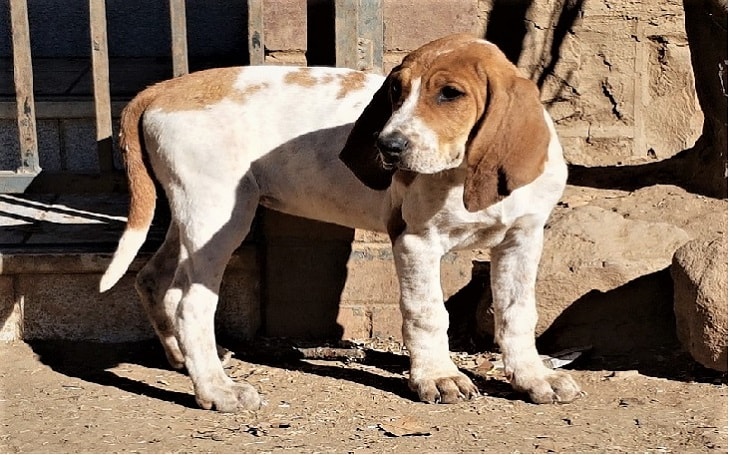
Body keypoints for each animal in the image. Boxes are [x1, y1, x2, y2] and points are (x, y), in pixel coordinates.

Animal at [101, 33, 580, 412]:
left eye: (450, 94)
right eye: (395, 91)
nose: (387, 146)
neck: (463, 171)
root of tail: (162, 90)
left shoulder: (522, 241)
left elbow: (518, 313)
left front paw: (533, 378)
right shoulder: (416, 241)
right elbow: (427, 312)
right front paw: (437, 376)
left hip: (193, 216)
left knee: (154, 278)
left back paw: (184, 358)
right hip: (218, 216)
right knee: (191, 302)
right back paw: (217, 390)